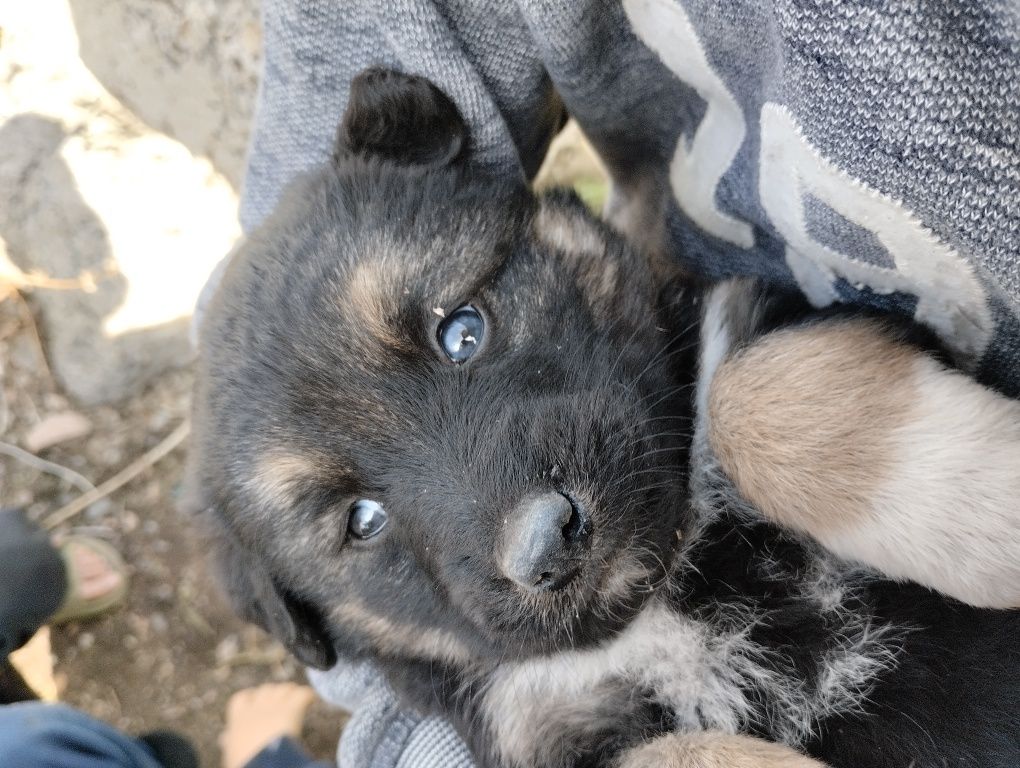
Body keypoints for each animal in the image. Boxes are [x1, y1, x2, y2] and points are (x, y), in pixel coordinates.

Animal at [187, 68, 1015, 762]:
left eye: (462, 332)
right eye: (362, 521)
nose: (548, 543)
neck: (665, 584)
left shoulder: (761, 312)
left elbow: (749, 390)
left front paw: (991, 508)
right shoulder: (553, 729)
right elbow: (686, 750)